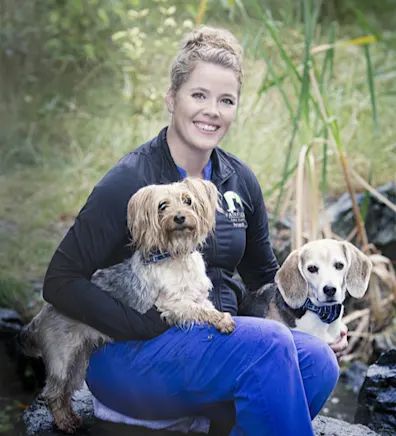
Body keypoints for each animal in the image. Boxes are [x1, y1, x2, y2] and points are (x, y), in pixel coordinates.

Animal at [19, 177, 235, 432]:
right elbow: (198, 310)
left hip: (79, 361)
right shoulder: (173, 304)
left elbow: (207, 307)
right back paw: (64, 423)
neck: (175, 255)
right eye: (163, 206)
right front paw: (222, 321)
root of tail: (41, 314)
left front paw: (222, 317)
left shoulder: (198, 296)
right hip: (62, 358)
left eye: (188, 201)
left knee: (65, 391)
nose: (180, 217)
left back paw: (70, 418)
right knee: (53, 392)